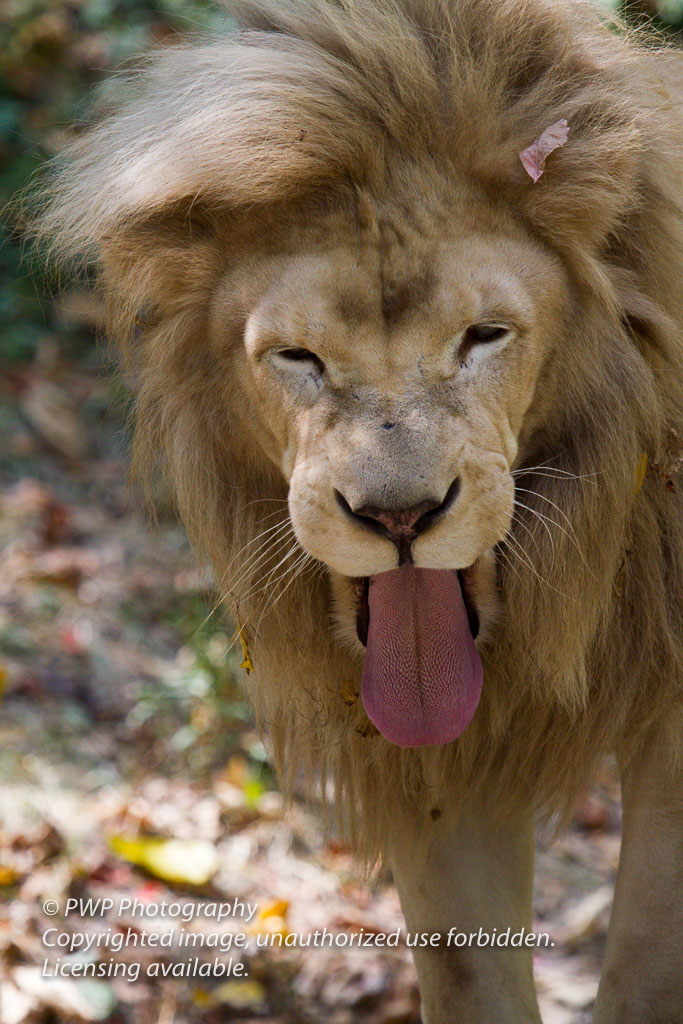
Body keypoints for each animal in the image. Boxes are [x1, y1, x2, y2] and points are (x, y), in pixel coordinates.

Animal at [33, 0, 683, 1019]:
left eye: (483, 336)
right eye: (298, 357)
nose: (400, 519)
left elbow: (647, 970)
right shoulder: (442, 768)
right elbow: (469, 973)